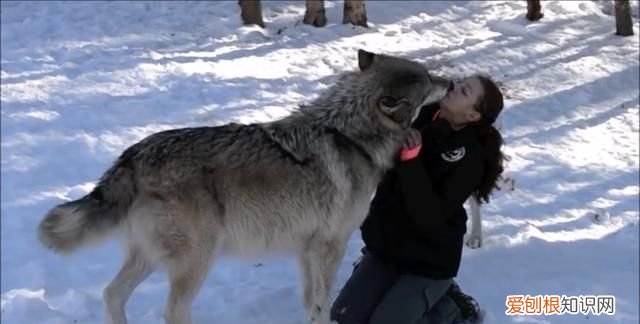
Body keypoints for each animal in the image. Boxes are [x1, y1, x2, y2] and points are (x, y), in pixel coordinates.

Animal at [37, 48, 452, 324]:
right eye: (429, 79)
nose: (451, 83)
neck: (350, 134)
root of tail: (133, 156)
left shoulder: (307, 248)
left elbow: (311, 303)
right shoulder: (330, 245)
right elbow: (324, 303)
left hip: (150, 257)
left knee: (112, 294)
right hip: (197, 259)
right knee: (173, 311)